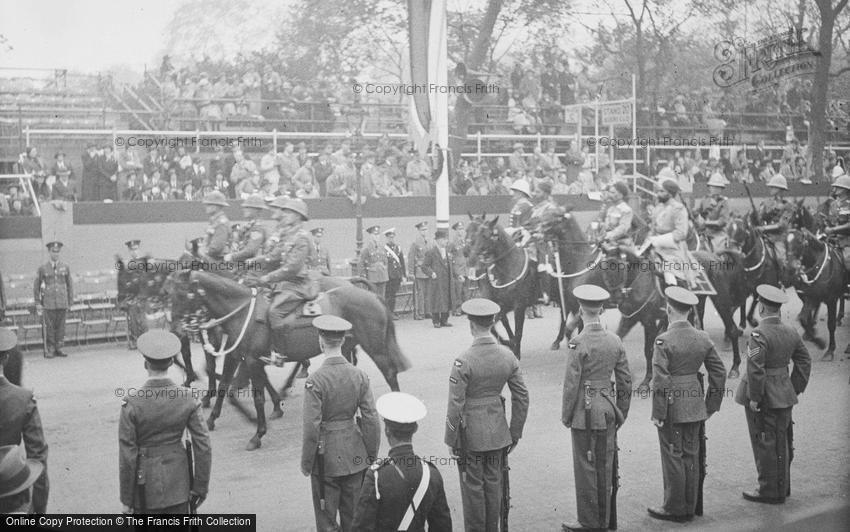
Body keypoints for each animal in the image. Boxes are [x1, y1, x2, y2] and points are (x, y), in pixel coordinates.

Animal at [170, 270, 410, 448]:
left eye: (181, 294)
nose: (175, 329)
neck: (243, 312)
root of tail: (370, 295)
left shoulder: (252, 361)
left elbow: (256, 397)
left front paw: (258, 432)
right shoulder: (236, 356)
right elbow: (224, 389)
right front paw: (213, 418)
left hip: (375, 347)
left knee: (390, 374)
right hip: (347, 345)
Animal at [464, 214, 536, 360]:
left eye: (484, 235)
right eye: (467, 230)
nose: (468, 254)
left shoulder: (518, 305)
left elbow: (517, 331)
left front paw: (515, 349)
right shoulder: (497, 304)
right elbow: (497, 326)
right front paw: (509, 343)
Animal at [784, 227, 844, 360]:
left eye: (800, 242)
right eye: (785, 243)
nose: (789, 268)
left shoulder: (831, 299)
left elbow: (830, 324)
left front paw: (830, 350)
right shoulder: (809, 297)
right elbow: (803, 319)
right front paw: (818, 341)